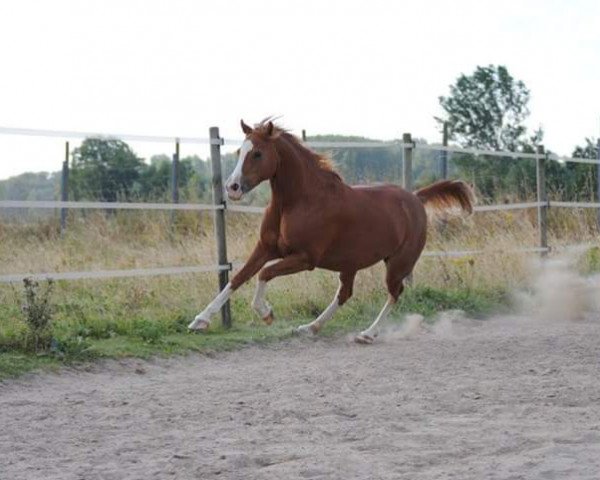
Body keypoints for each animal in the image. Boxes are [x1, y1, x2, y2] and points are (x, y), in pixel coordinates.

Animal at [188, 120, 474, 344]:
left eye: (257, 153)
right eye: (239, 151)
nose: (232, 188)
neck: (298, 201)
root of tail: (416, 198)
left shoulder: (305, 258)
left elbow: (264, 274)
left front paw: (266, 313)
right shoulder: (265, 248)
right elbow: (238, 278)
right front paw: (199, 321)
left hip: (397, 263)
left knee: (394, 293)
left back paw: (367, 334)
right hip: (350, 264)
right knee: (346, 294)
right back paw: (310, 327)